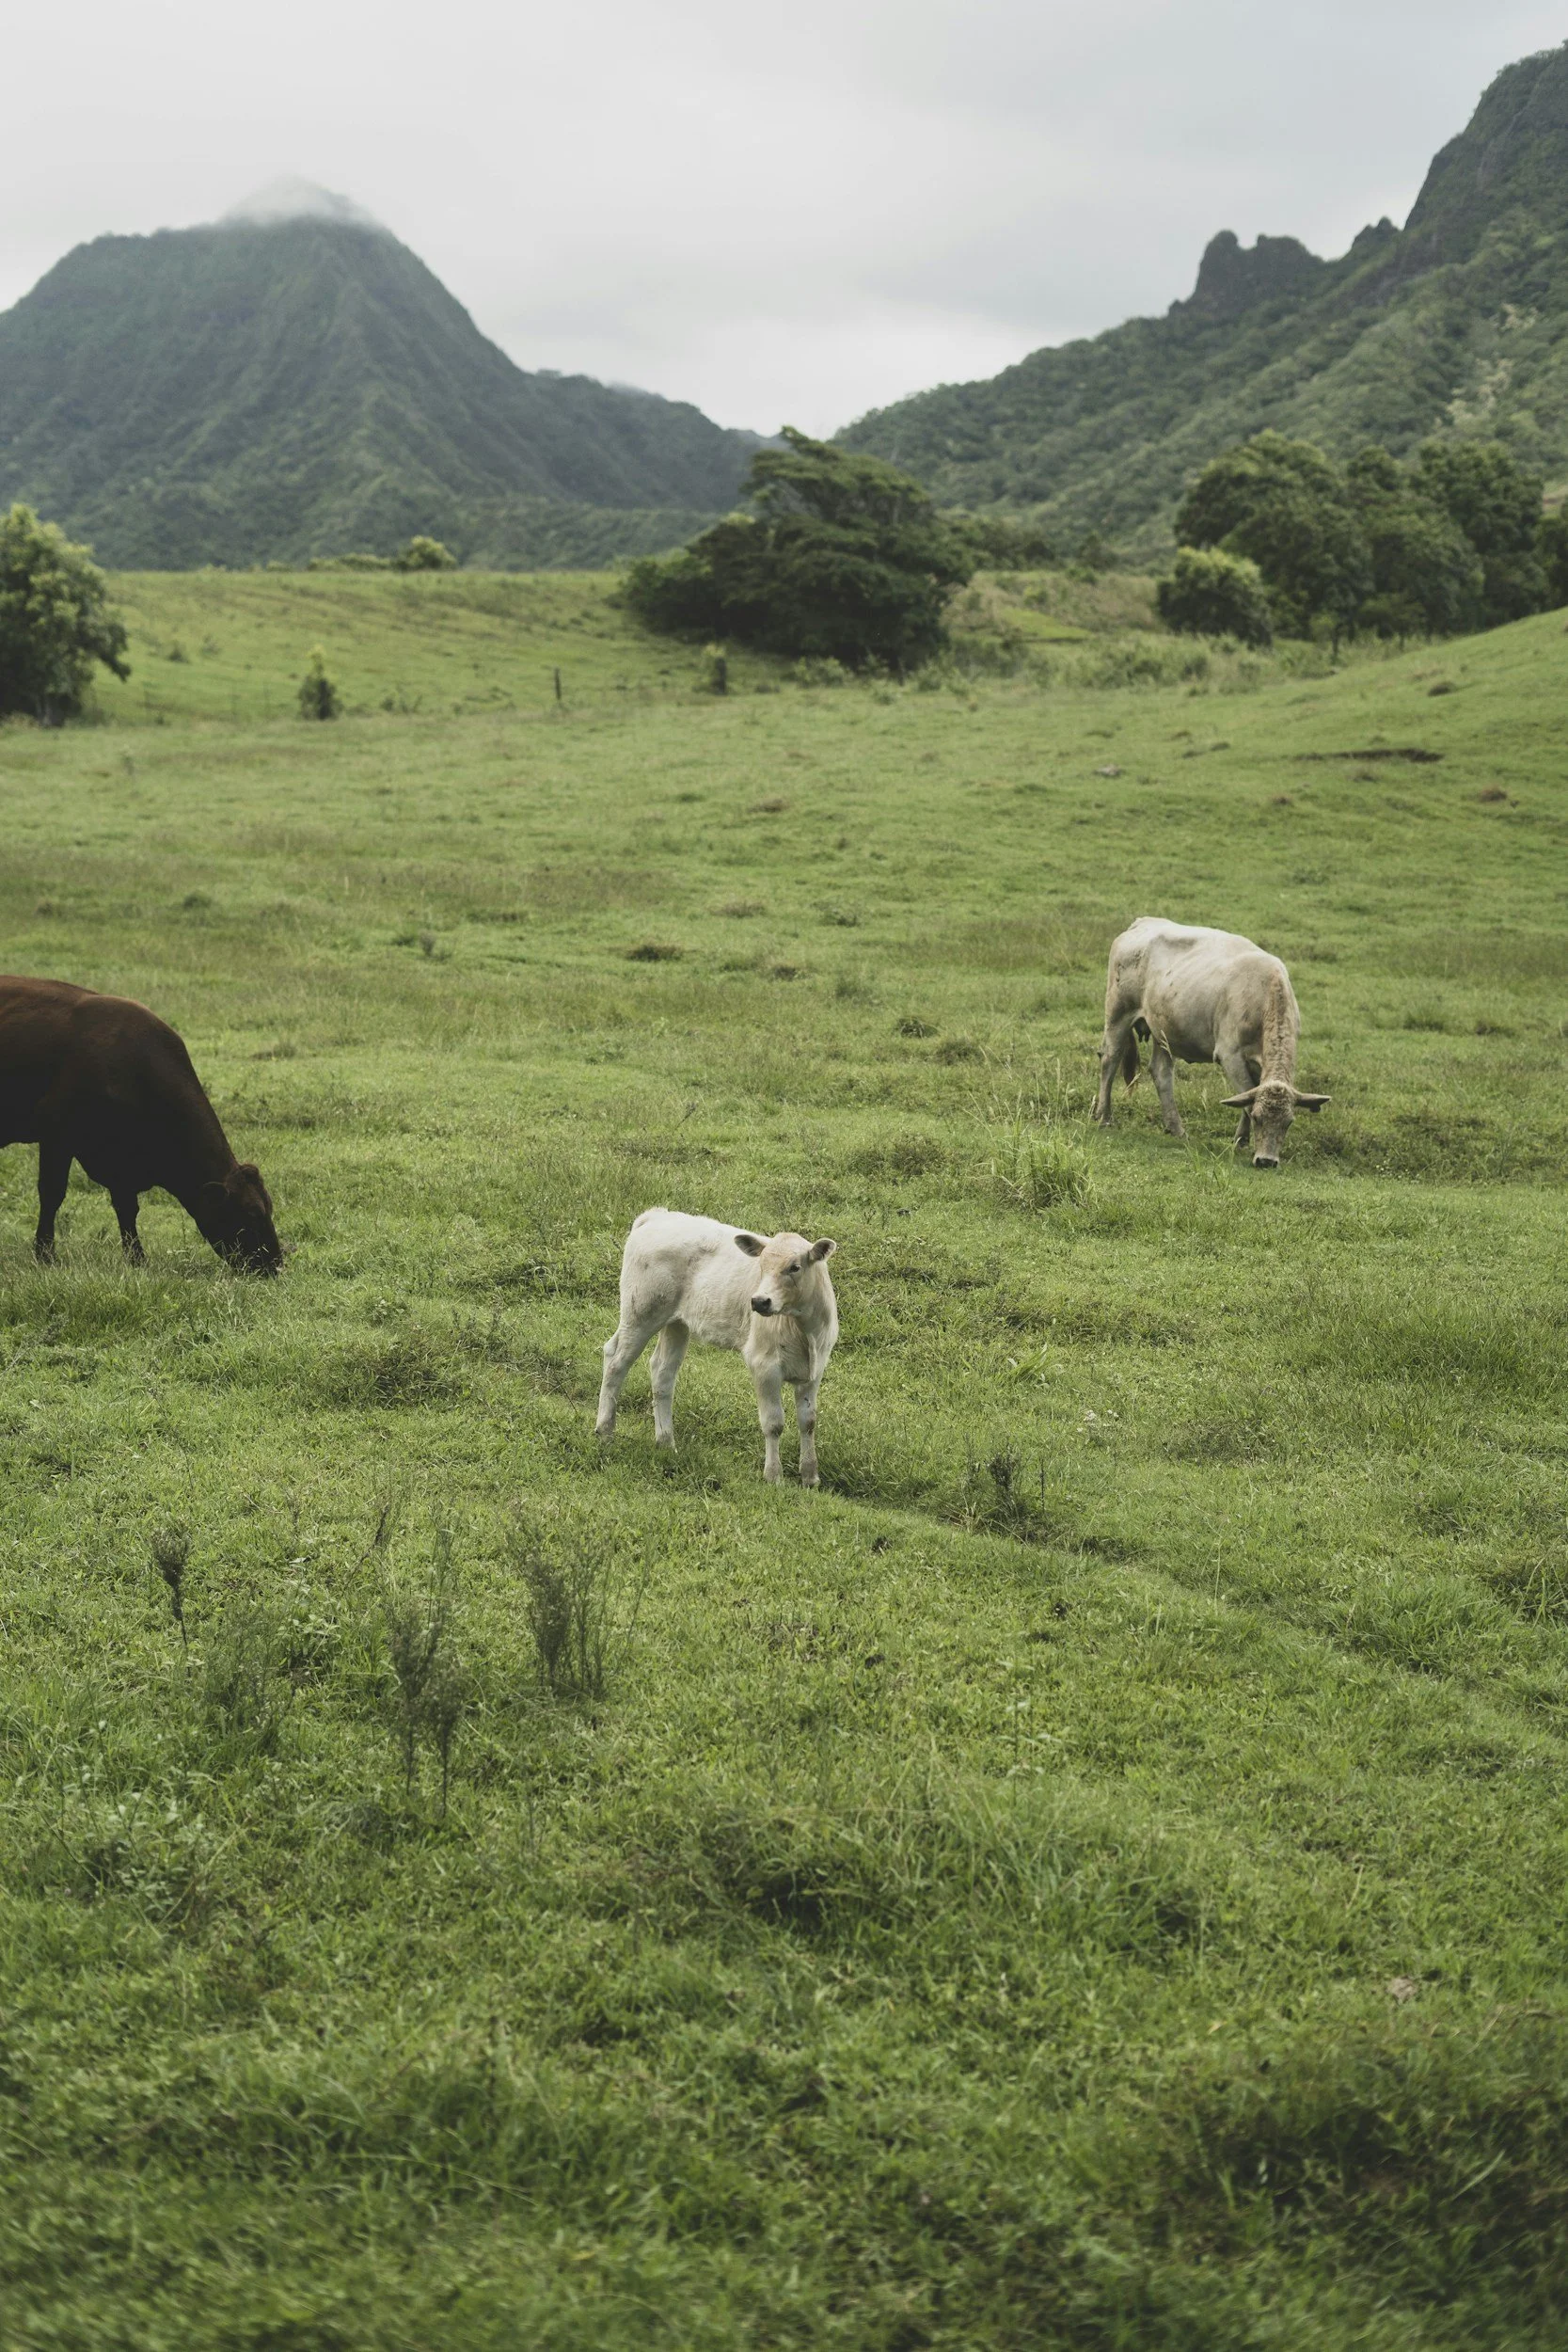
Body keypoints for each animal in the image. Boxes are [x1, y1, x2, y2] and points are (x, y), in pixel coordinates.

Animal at [0, 976, 282, 1272]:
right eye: (252, 1213)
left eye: (269, 1207)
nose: (275, 1264)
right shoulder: (57, 1135)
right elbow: (52, 1194)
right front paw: (46, 1255)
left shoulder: (121, 1158)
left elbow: (127, 1208)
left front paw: (137, 1258)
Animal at [596, 1209, 839, 1485]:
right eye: (761, 1266)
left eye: (795, 1267)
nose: (759, 1301)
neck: (804, 1331)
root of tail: (658, 1215)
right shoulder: (763, 1364)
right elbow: (773, 1423)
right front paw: (773, 1476)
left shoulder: (815, 1370)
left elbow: (808, 1421)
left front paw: (810, 1477)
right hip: (641, 1312)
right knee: (616, 1361)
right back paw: (605, 1432)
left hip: (676, 1323)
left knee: (662, 1372)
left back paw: (666, 1442)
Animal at [1093, 917, 1329, 1168]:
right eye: (1258, 1118)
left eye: (1289, 1122)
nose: (1266, 1161)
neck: (1264, 994)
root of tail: (1142, 922)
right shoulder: (1230, 1055)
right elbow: (1246, 1098)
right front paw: (1241, 1139)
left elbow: (1248, 1094)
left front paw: (1241, 1140)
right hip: (1118, 1013)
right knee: (1110, 1059)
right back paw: (1104, 1116)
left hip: (1163, 1030)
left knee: (1161, 1073)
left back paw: (1176, 1128)